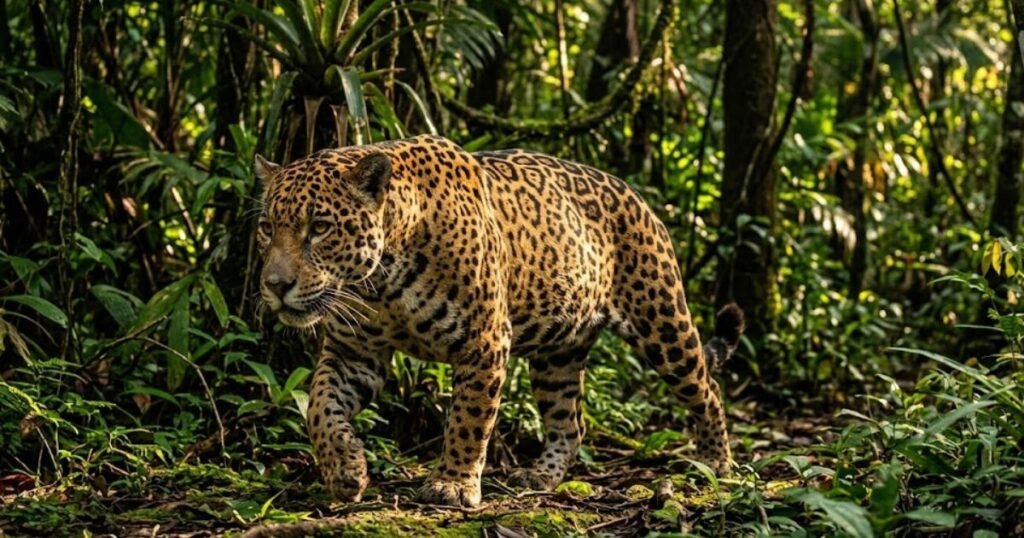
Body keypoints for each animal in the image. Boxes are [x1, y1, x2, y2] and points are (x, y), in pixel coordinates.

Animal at [254, 134, 744, 507]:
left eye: (319, 228)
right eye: (266, 228)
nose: (275, 285)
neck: (382, 278)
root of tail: (638, 197)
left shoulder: (484, 342)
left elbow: (469, 420)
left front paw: (452, 485)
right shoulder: (354, 353)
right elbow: (319, 408)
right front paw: (345, 469)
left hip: (662, 321)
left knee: (707, 388)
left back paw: (717, 463)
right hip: (558, 354)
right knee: (571, 422)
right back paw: (540, 476)